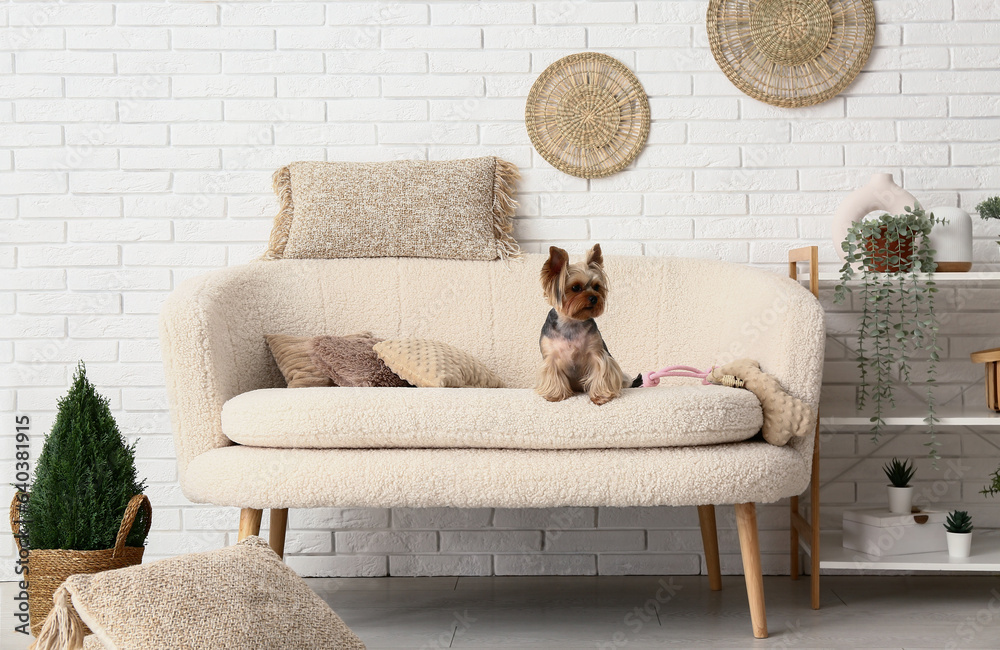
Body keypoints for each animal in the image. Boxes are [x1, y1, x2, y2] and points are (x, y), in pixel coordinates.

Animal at [540, 244, 624, 404]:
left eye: (597, 287)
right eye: (575, 288)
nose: (594, 298)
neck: (572, 322)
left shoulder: (596, 353)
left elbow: (600, 372)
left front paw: (600, 396)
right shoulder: (551, 356)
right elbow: (553, 374)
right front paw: (555, 395)